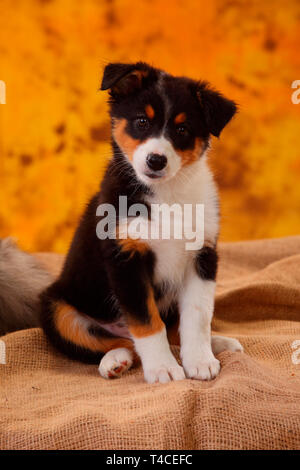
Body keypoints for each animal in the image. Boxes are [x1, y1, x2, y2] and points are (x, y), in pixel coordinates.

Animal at [39, 62, 243, 384]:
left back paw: (220, 343)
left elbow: (197, 316)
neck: (167, 194)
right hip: (55, 308)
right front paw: (163, 368)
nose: (156, 160)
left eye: (182, 129)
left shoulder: (202, 255)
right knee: (116, 341)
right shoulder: (125, 258)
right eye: (142, 122)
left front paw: (200, 361)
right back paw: (114, 362)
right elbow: (147, 322)